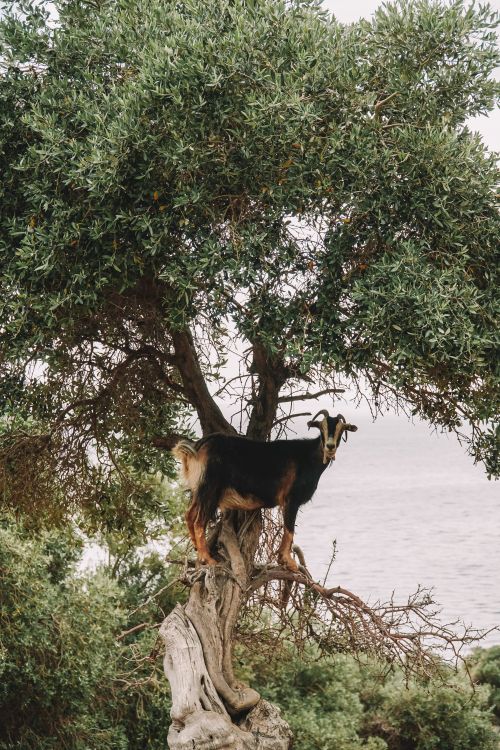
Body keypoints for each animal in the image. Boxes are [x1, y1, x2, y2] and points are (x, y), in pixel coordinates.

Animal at [173, 410, 358, 570]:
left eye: (342, 429)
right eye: (321, 427)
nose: (330, 446)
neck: (308, 457)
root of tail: (197, 447)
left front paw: (283, 560)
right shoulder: (291, 499)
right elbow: (289, 529)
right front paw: (288, 562)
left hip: (199, 490)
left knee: (189, 515)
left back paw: (198, 551)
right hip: (210, 488)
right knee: (198, 521)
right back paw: (208, 559)